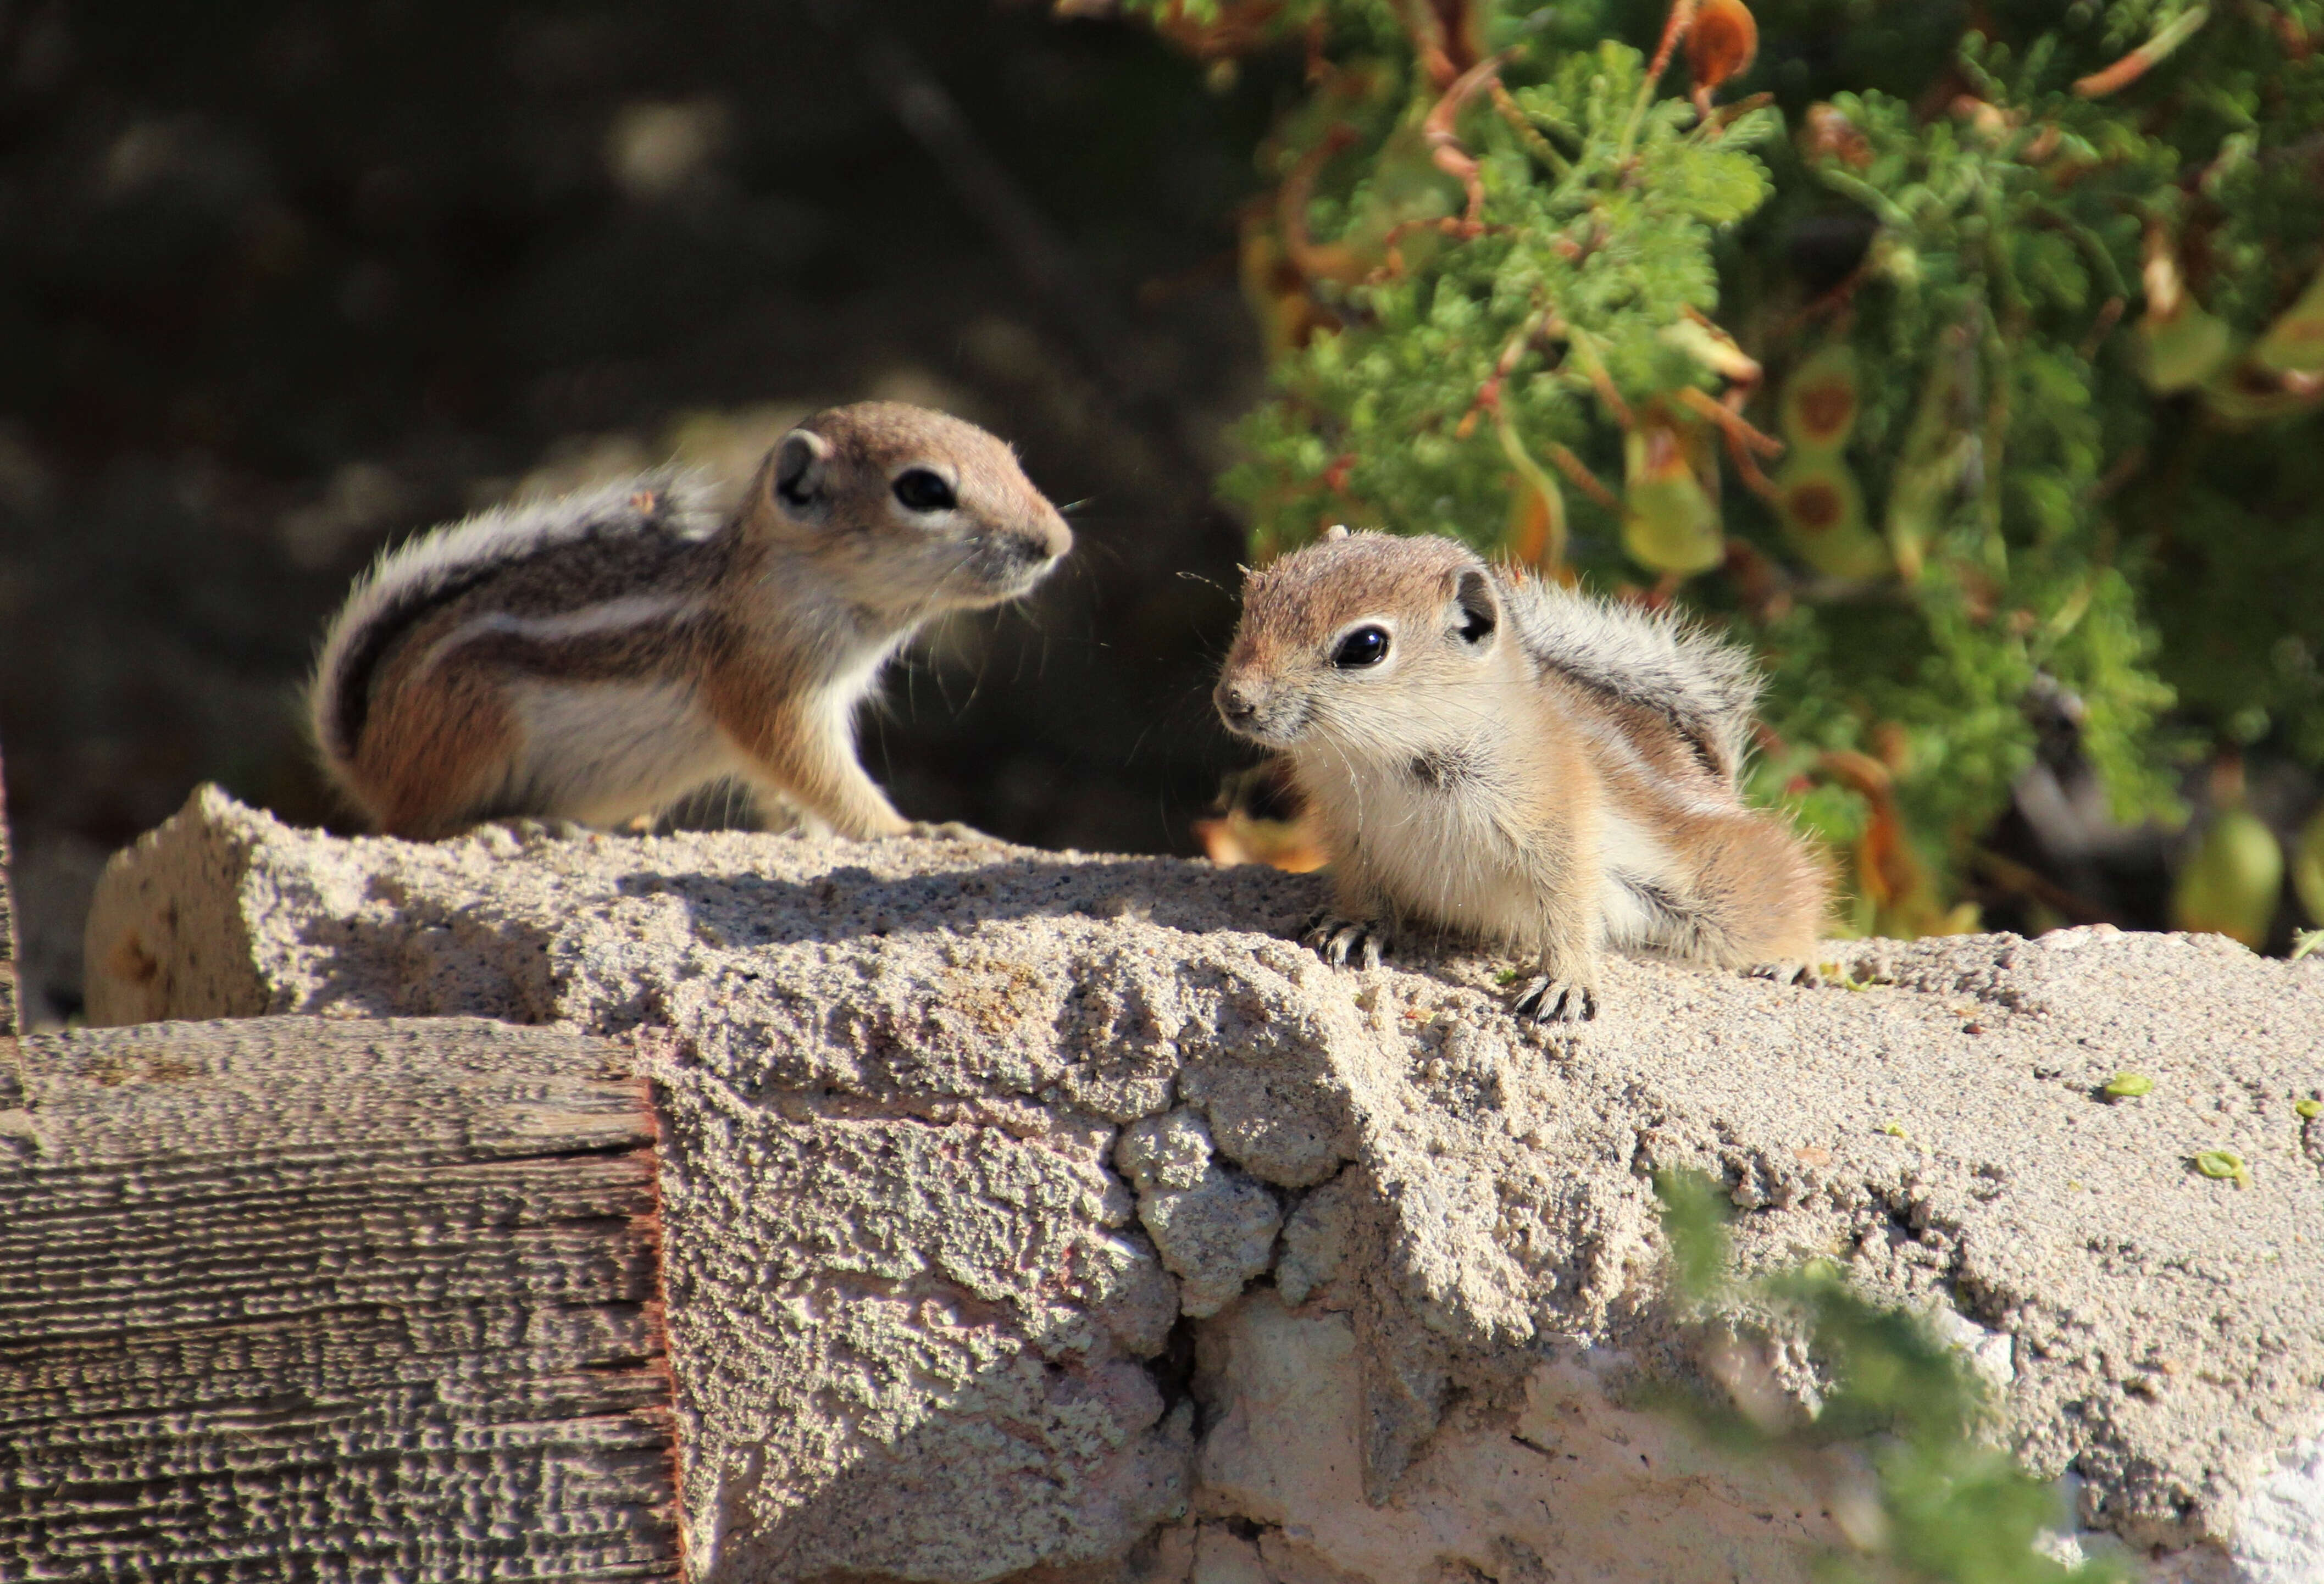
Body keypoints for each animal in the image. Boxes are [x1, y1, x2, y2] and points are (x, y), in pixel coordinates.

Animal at [309, 402, 1069, 841]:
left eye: (1007, 455)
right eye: (923, 490)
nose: (1056, 543)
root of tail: (368, 759)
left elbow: (796, 795)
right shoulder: (769, 692)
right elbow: (819, 775)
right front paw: (915, 833)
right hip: (471, 729)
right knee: (409, 826)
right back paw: (509, 828)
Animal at [1208, 525, 1822, 1017]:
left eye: (1366, 646)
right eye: (1254, 595)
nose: (1235, 700)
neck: (1383, 758)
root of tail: (1718, 786)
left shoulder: (1560, 827)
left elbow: (1569, 907)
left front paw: (1566, 981)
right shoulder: (1350, 831)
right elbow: (1362, 886)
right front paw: (1355, 925)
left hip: (1723, 902)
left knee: (1789, 899)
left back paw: (1795, 961)